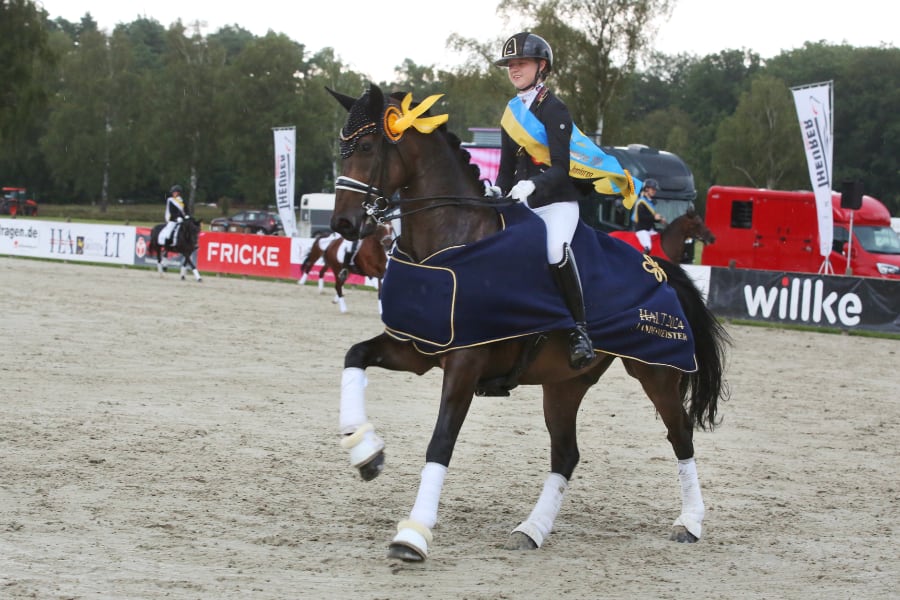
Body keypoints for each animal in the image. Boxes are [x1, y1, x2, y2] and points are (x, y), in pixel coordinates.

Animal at [327, 84, 729, 562]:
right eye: (342, 149)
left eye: (367, 147)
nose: (343, 223)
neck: (451, 241)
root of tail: (659, 267)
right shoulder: (417, 348)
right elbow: (354, 355)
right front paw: (365, 450)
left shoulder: (464, 364)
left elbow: (441, 441)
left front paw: (413, 536)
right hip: (564, 383)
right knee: (566, 454)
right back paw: (531, 529)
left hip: (656, 370)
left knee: (680, 434)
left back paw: (690, 522)